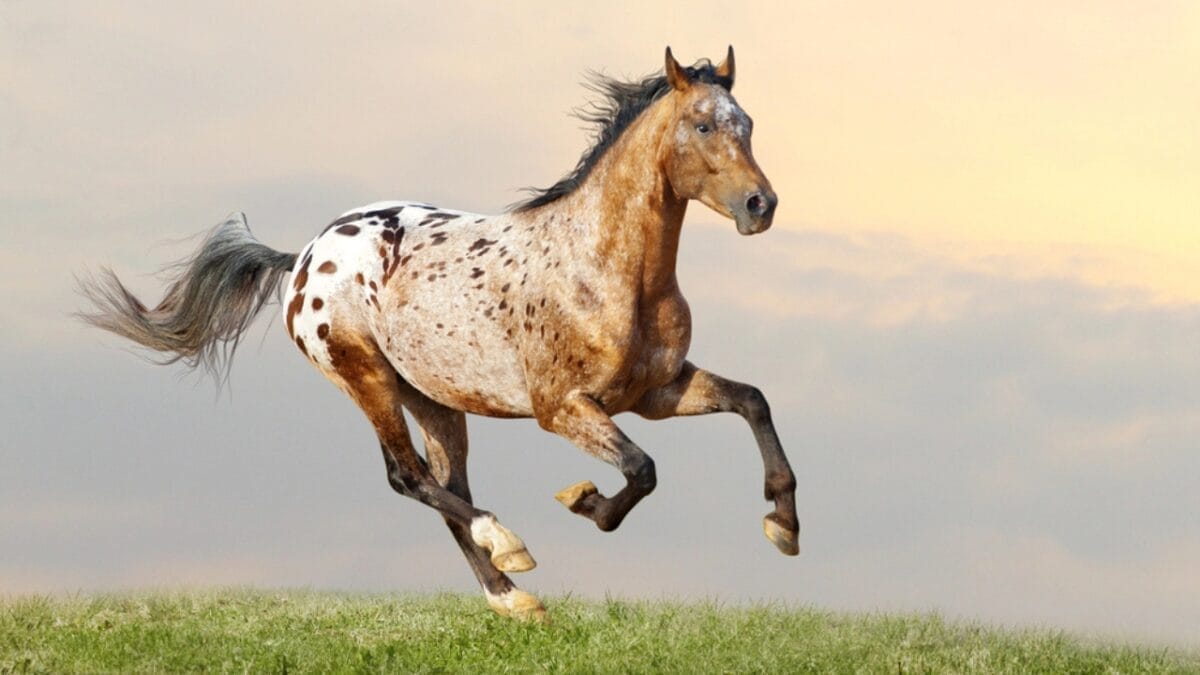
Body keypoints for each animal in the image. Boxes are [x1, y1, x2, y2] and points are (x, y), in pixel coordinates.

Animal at [78, 47, 798, 621]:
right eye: (702, 124)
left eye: (749, 125)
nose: (760, 205)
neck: (604, 268)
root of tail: (303, 256)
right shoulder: (563, 408)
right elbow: (642, 470)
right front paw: (585, 502)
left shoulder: (656, 392)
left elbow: (753, 400)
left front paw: (783, 523)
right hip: (363, 375)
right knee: (409, 477)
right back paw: (509, 547)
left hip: (435, 399)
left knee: (447, 485)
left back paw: (512, 597)